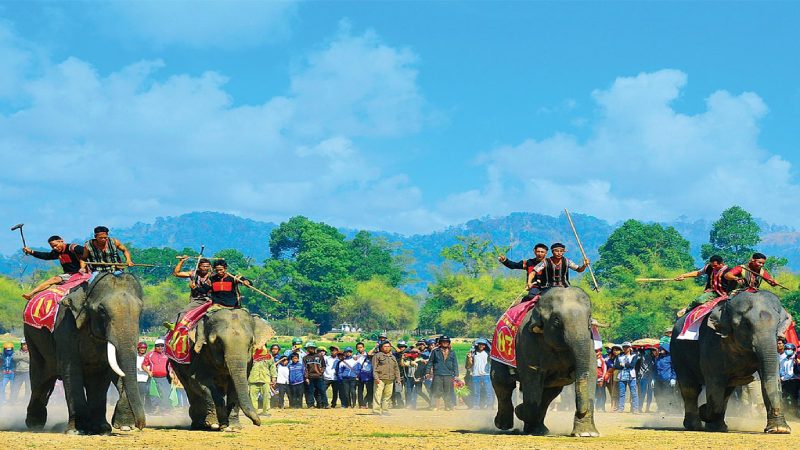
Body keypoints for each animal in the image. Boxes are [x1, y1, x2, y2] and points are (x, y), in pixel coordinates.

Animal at [24, 272, 147, 434]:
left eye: (140, 311)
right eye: (102, 311)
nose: (141, 426)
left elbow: (102, 374)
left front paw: (103, 429)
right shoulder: (65, 325)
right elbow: (71, 370)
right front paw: (76, 430)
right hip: (32, 340)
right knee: (41, 379)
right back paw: (34, 424)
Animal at [490, 286, 596, 438]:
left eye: (589, 319)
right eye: (556, 320)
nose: (581, 411)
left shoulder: (590, 339)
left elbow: (591, 372)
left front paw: (587, 433)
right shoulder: (527, 339)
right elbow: (532, 375)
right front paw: (520, 410)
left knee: (549, 394)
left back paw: (538, 430)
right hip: (497, 349)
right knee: (502, 382)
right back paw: (504, 425)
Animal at [672, 290, 792, 434]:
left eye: (778, 324)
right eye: (746, 324)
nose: (782, 343)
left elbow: (772, 378)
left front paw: (779, 429)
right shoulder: (711, 342)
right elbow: (715, 381)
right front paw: (703, 410)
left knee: (727, 391)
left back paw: (718, 427)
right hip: (677, 352)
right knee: (690, 388)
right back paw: (694, 426)